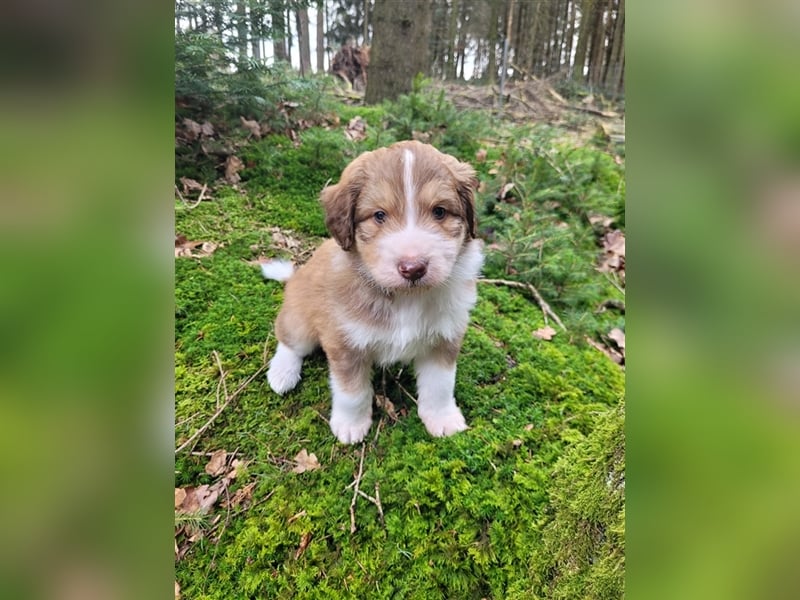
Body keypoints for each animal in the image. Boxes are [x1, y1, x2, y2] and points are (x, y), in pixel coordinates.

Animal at [266, 139, 484, 440]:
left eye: (439, 211)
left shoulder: (444, 338)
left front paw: (443, 419)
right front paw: (351, 425)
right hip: (300, 318)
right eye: (379, 215)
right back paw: (282, 374)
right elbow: (352, 393)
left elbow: (440, 385)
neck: (406, 298)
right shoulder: (345, 343)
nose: (413, 268)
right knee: (289, 341)